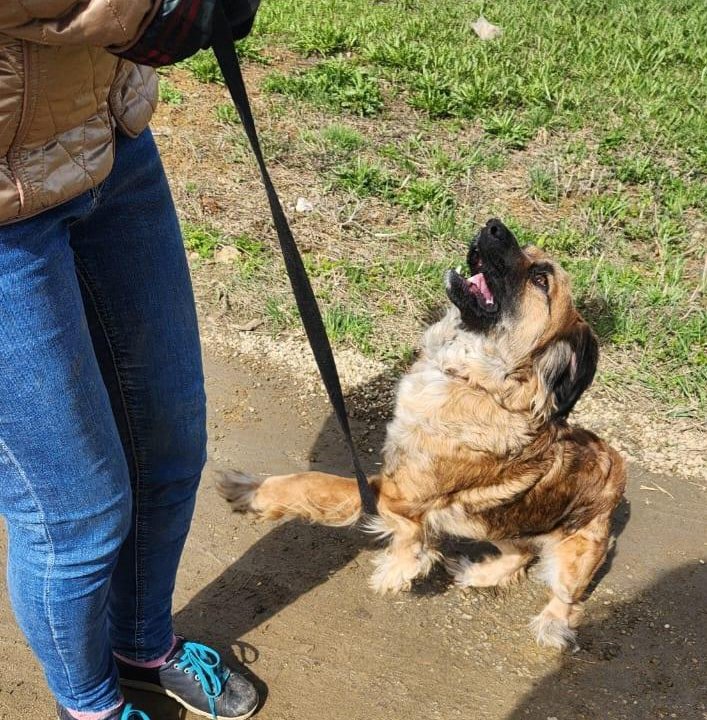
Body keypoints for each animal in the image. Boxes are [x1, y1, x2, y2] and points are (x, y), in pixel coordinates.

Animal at [216, 218, 624, 648]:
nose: (493, 226)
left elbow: (313, 481)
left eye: (541, 279)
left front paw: (251, 491)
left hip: (573, 551)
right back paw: (478, 574)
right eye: (526, 249)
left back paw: (549, 623)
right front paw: (402, 565)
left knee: (567, 597)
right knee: (521, 553)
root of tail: (617, 468)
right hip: (492, 523)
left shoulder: (398, 495)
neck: (475, 381)